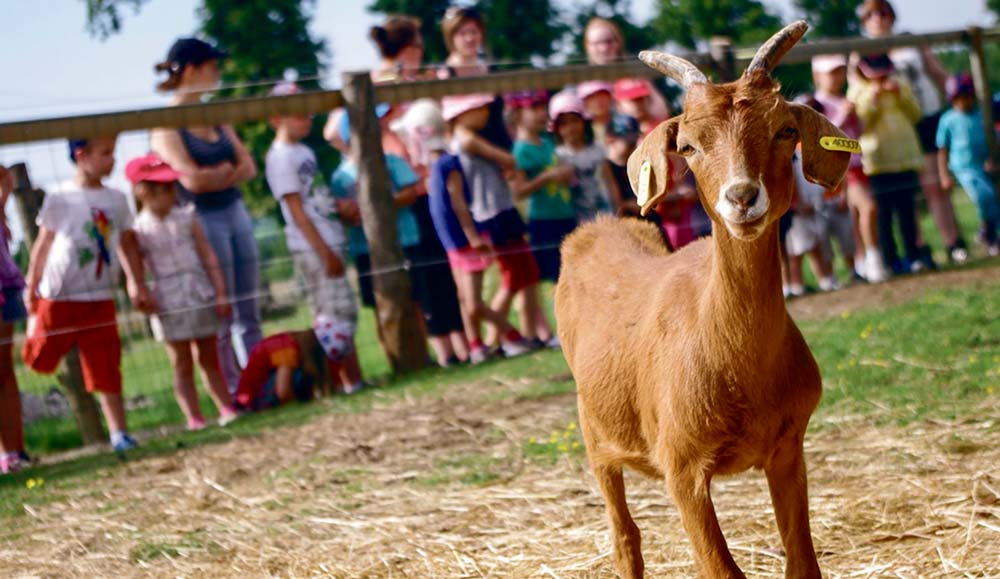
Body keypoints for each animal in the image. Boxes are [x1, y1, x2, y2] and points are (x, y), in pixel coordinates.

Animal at [560, 22, 848, 579]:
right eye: (688, 146)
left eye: (785, 130)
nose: (742, 197)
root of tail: (592, 230)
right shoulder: (682, 468)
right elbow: (720, 569)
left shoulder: (788, 448)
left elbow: (803, 562)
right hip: (595, 436)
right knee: (624, 537)